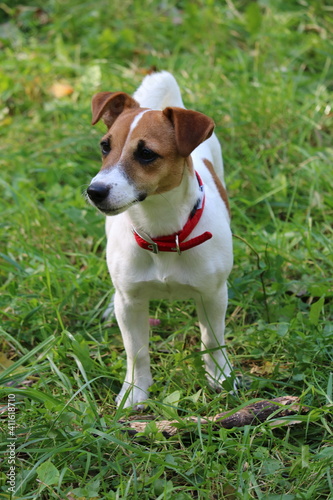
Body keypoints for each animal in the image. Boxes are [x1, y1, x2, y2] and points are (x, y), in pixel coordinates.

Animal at [87, 71, 235, 406]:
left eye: (146, 154)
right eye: (104, 147)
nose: (95, 191)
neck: (163, 233)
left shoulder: (213, 295)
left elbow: (212, 339)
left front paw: (220, 377)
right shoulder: (130, 303)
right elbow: (136, 351)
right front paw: (135, 391)